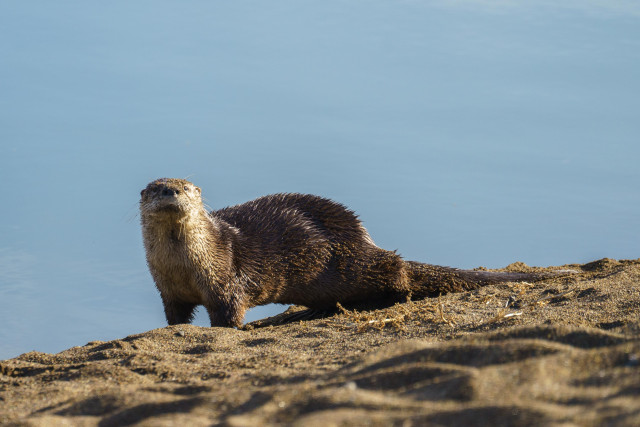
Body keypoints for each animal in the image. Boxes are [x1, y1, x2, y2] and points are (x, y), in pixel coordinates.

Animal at [140, 177, 568, 328]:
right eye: (158, 188)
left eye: (186, 187)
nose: (173, 191)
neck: (183, 267)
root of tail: (365, 239)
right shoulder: (166, 290)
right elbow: (175, 317)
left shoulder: (226, 278)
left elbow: (229, 311)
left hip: (352, 264)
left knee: (398, 270)